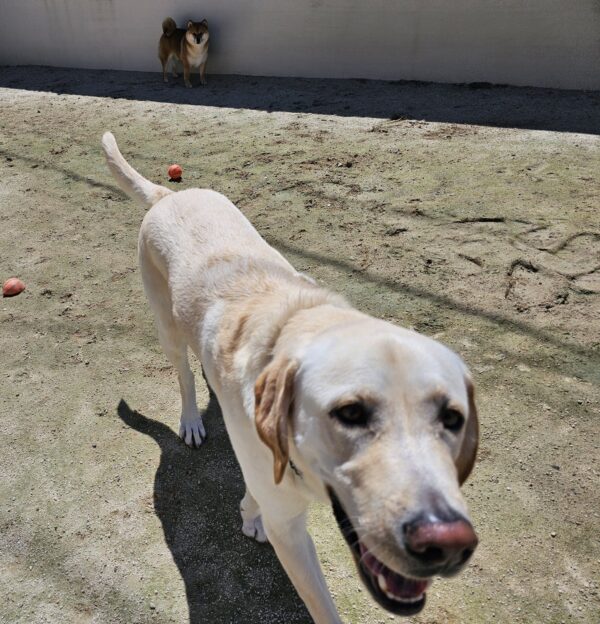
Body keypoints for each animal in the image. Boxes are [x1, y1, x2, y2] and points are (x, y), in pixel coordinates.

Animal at [102, 132, 479, 623]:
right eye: (350, 413)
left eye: (452, 419)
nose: (447, 542)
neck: (297, 321)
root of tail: (170, 195)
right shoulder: (290, 528)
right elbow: (322, 604)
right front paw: (251, 513)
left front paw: (249, 512)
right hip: (166, 324)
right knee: (183, 375)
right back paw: (191, 420)